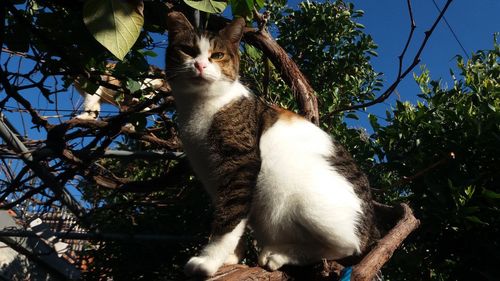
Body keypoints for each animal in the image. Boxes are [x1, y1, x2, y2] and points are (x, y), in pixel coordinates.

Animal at [165, 11, 378, 276]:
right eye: (187, 50)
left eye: (217, 55)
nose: (200, 65)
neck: (200, 106)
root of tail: (369, 227)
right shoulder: (214, 178)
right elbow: (235, 216)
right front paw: (231, 257)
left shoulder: (241, 164)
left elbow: (228, 220)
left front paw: (208, 261)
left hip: (305, 197)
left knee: (346, 247)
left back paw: (280, 254)